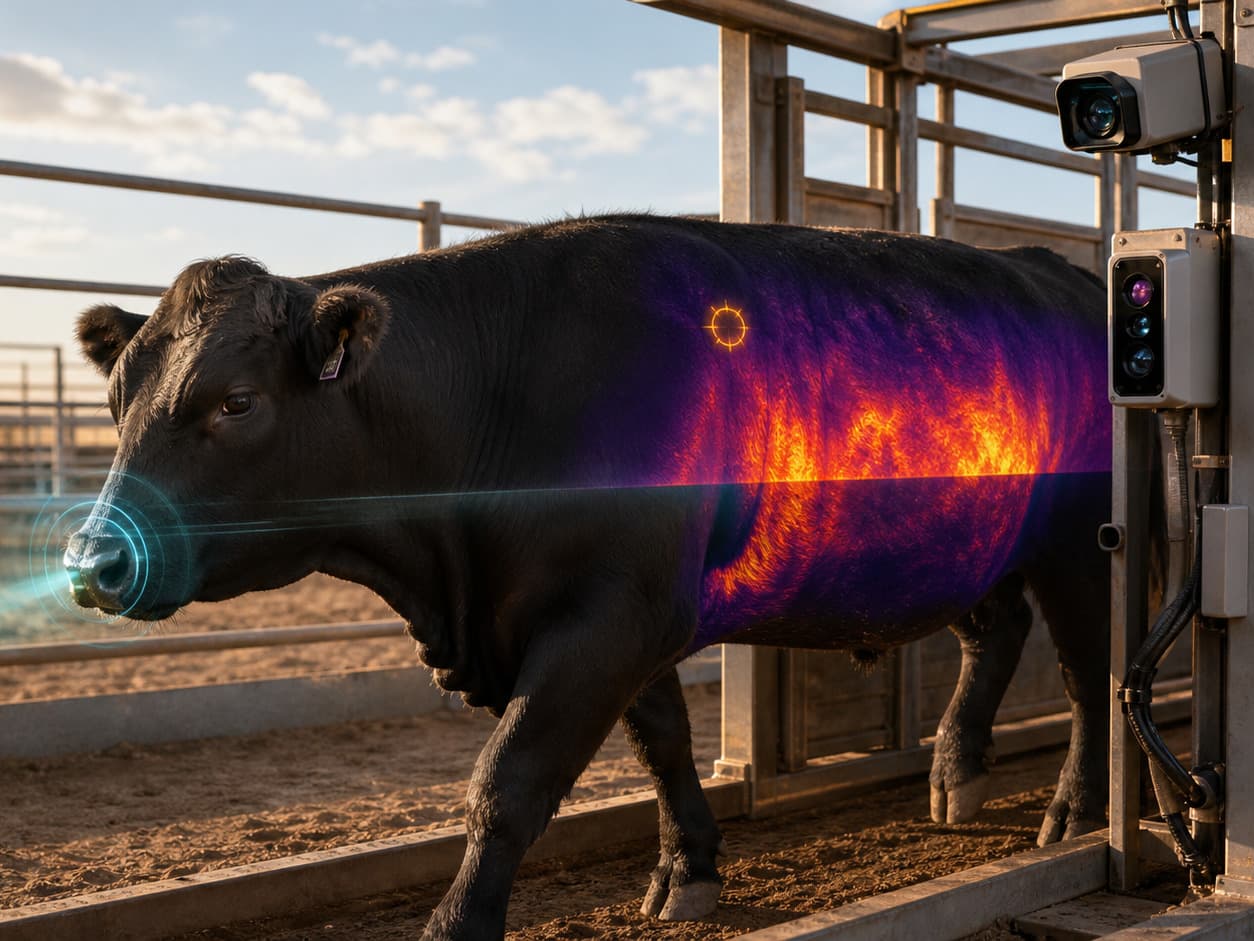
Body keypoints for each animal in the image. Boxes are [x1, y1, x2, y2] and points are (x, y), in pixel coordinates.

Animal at [64, 215, 1110, 940]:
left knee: (1088, 675)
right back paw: (956, 773)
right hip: (974, 544)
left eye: (236, 402)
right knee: (998, 634)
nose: (94, 560)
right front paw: (689, 869)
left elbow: (510, 779)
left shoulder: (607, 618)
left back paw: (1078, 812)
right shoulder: (627, 618)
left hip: (1081, 545)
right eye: (114, 400)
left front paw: (457, 923)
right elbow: (665, 745)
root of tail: (1059, 268)